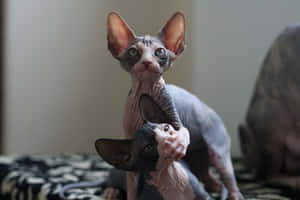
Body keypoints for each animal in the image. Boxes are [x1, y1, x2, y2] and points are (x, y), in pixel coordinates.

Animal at [106, 11, 243, 200]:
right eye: (133, 52)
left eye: (160, 51)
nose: (147, 61)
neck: (145, 89)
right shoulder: (132, 145)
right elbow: (132, 182)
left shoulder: (173, 119)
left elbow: (181, 131)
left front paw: (175, 144)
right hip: (198, 158)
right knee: (205, 175)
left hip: (216, 148)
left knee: (226, 174)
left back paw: (233, 194)